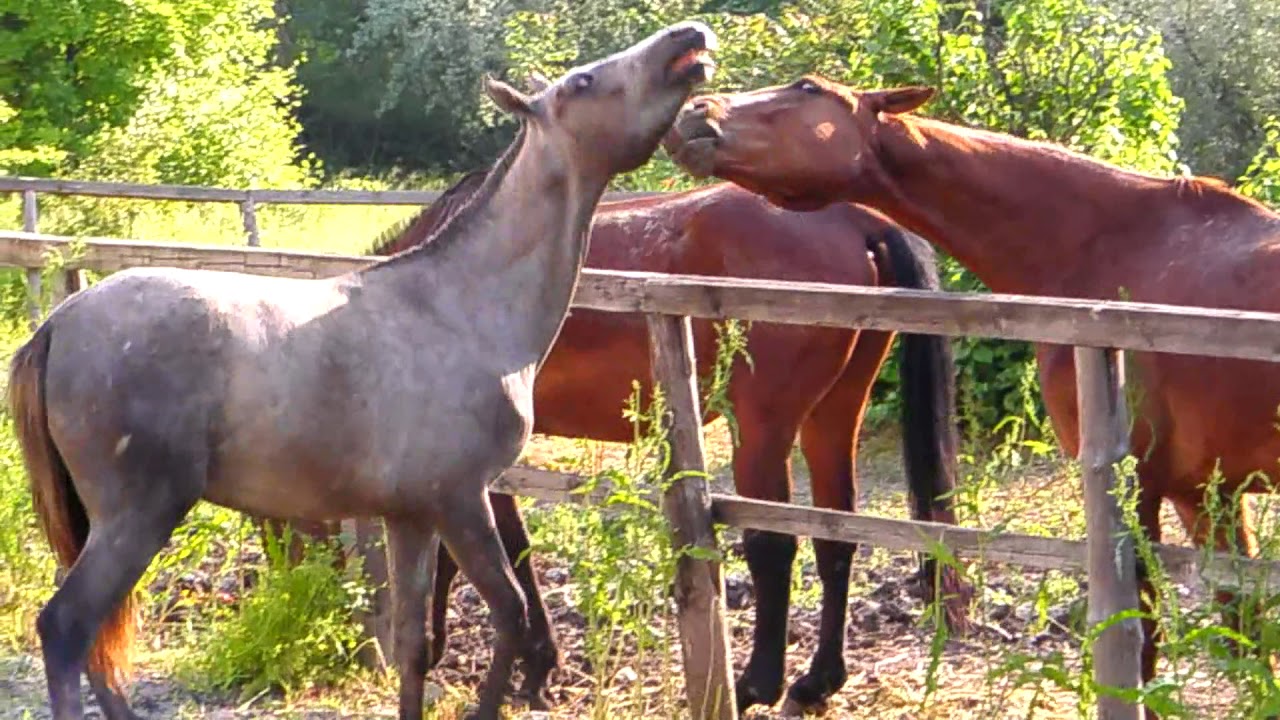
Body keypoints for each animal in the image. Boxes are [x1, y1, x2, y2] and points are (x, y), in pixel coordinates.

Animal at [7, 21, 718, 720]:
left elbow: (414, 644)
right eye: (583, 82)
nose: (689, 38)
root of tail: (58, 324)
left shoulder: (412, 517)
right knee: (67, 627)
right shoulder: (462, 501)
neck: (459, 305)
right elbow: (510, 614)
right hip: (137, 515)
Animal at [279, 169, 973, 715]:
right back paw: (817, 683)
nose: (287, 586)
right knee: (836, 540)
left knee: (774, 545)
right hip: (831, 417)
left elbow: (499, 552)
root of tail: (857, 220)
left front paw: (528, 663)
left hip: (764, 430)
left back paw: (758, 683)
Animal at [662, 73, 1280, 719]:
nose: (694, 111)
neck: (1116, 248)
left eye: (807, 88)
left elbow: (1147, 645)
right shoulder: (1202, 493)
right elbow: (1245, 634)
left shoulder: (1137, 490)